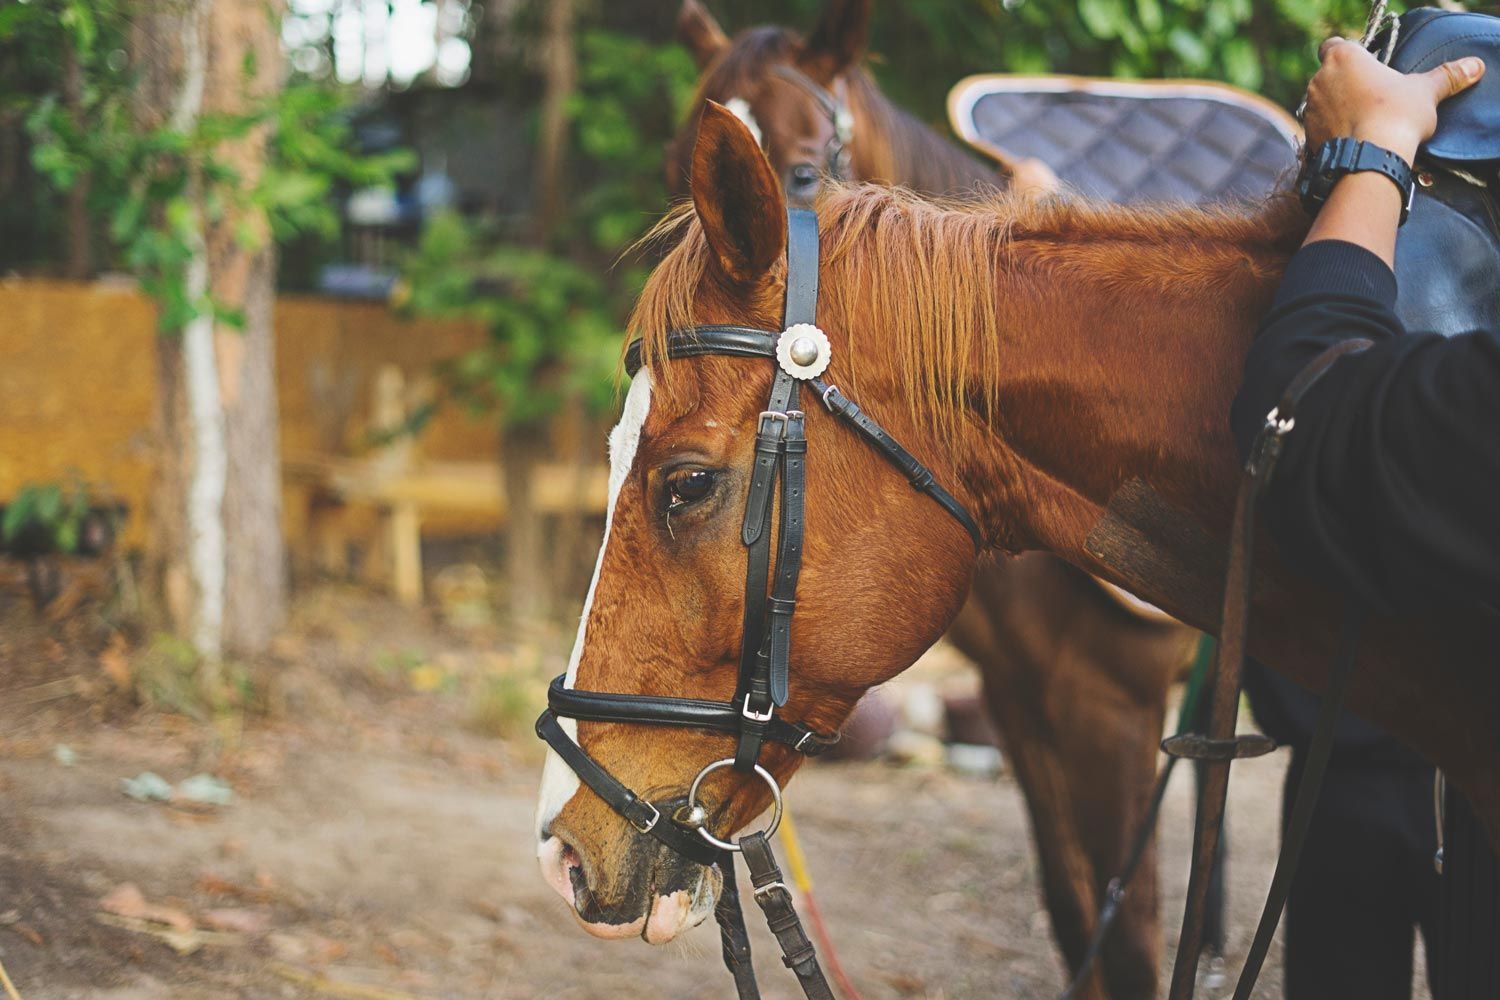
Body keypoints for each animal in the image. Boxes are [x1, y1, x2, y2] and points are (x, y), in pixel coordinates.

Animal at [666, 3, 1192, 996]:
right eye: (675, 172)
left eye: (803, 170)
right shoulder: (1020, 698)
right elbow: (1074, 913)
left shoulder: (1114, 704)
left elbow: (1132, 937)